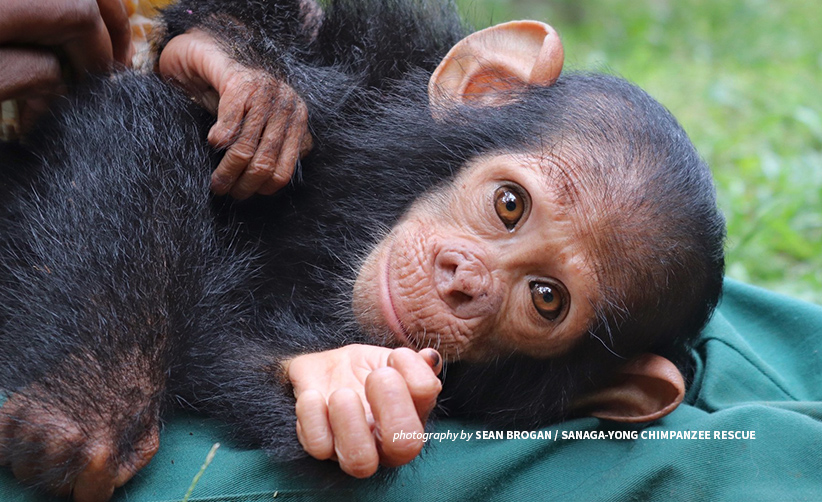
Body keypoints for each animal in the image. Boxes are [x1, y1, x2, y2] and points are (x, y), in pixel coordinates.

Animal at [0, 0, 725, 500]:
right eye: (509, 205)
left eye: (546, 298)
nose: (461, 280)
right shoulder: (380, 63)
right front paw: (236, 63)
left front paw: (340, 380)